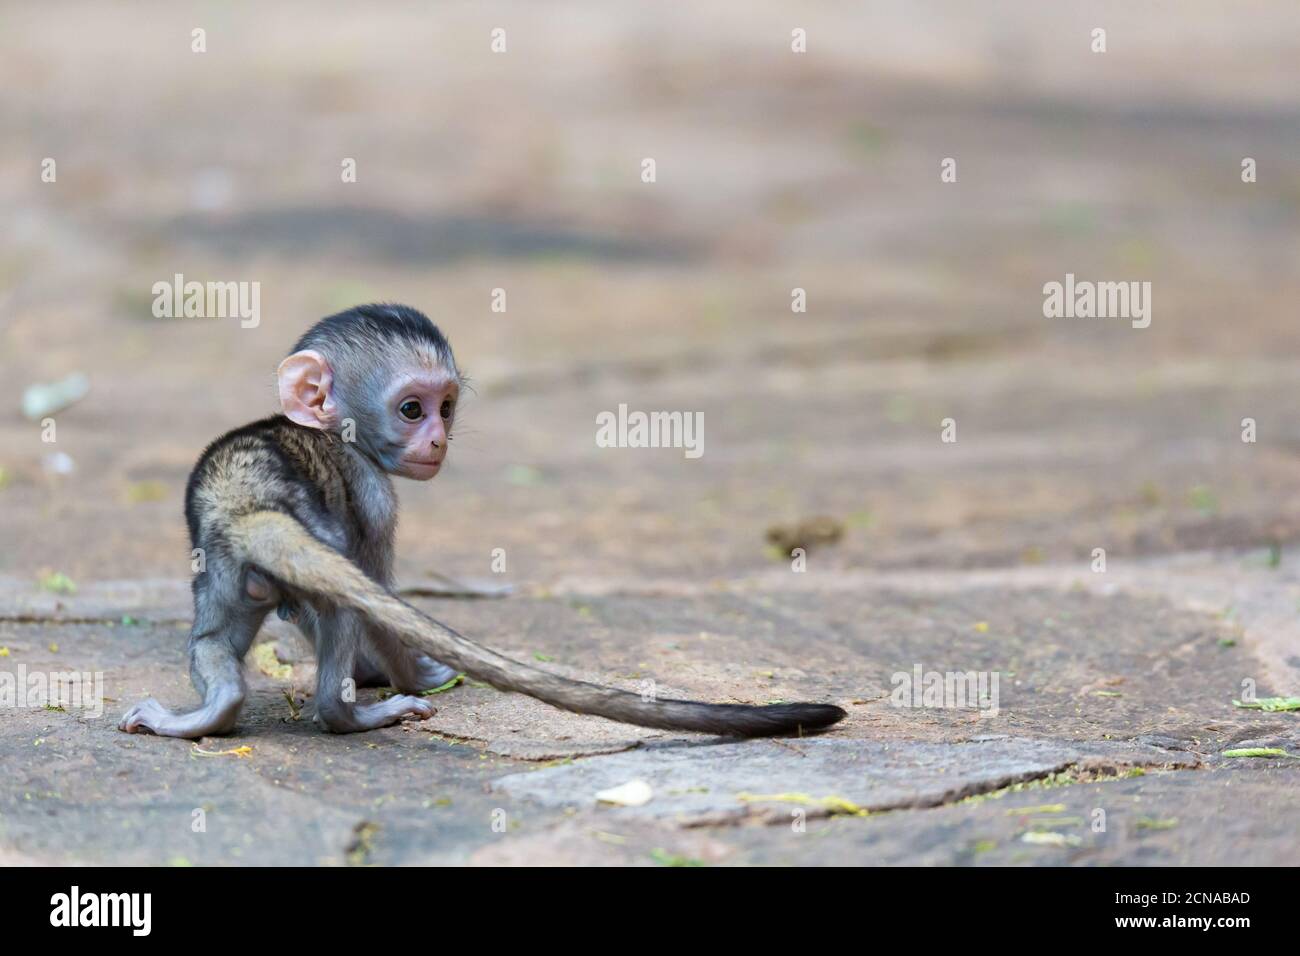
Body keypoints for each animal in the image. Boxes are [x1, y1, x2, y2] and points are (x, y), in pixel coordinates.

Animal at [116, 306, 837, 738]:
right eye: (412, 409)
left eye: (447, 407)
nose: (438, 440)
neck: (329, 431)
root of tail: (249, 507)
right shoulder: (373, 490)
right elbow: (376, 595)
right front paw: (406, 674)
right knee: (346, 604)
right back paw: (346, 716)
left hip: (221, 570)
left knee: (214, 640)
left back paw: (210, 712)